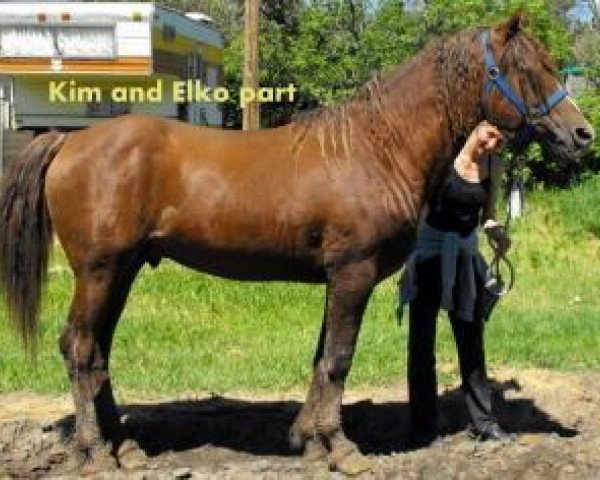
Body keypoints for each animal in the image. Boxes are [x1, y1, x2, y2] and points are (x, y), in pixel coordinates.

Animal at [0, 13, 592, 474]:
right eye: (526, 67)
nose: (582, 134)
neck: (377, 148)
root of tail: (69, 142)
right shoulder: (353, 273)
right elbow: (339, 358)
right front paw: (341, 448)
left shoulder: (337, 277)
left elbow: (321, 357)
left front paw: (309, 439)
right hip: (100, 271)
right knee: (79, 348)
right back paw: (96, 453)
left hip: (121, 272)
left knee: (98, 351)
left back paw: (124, 447)